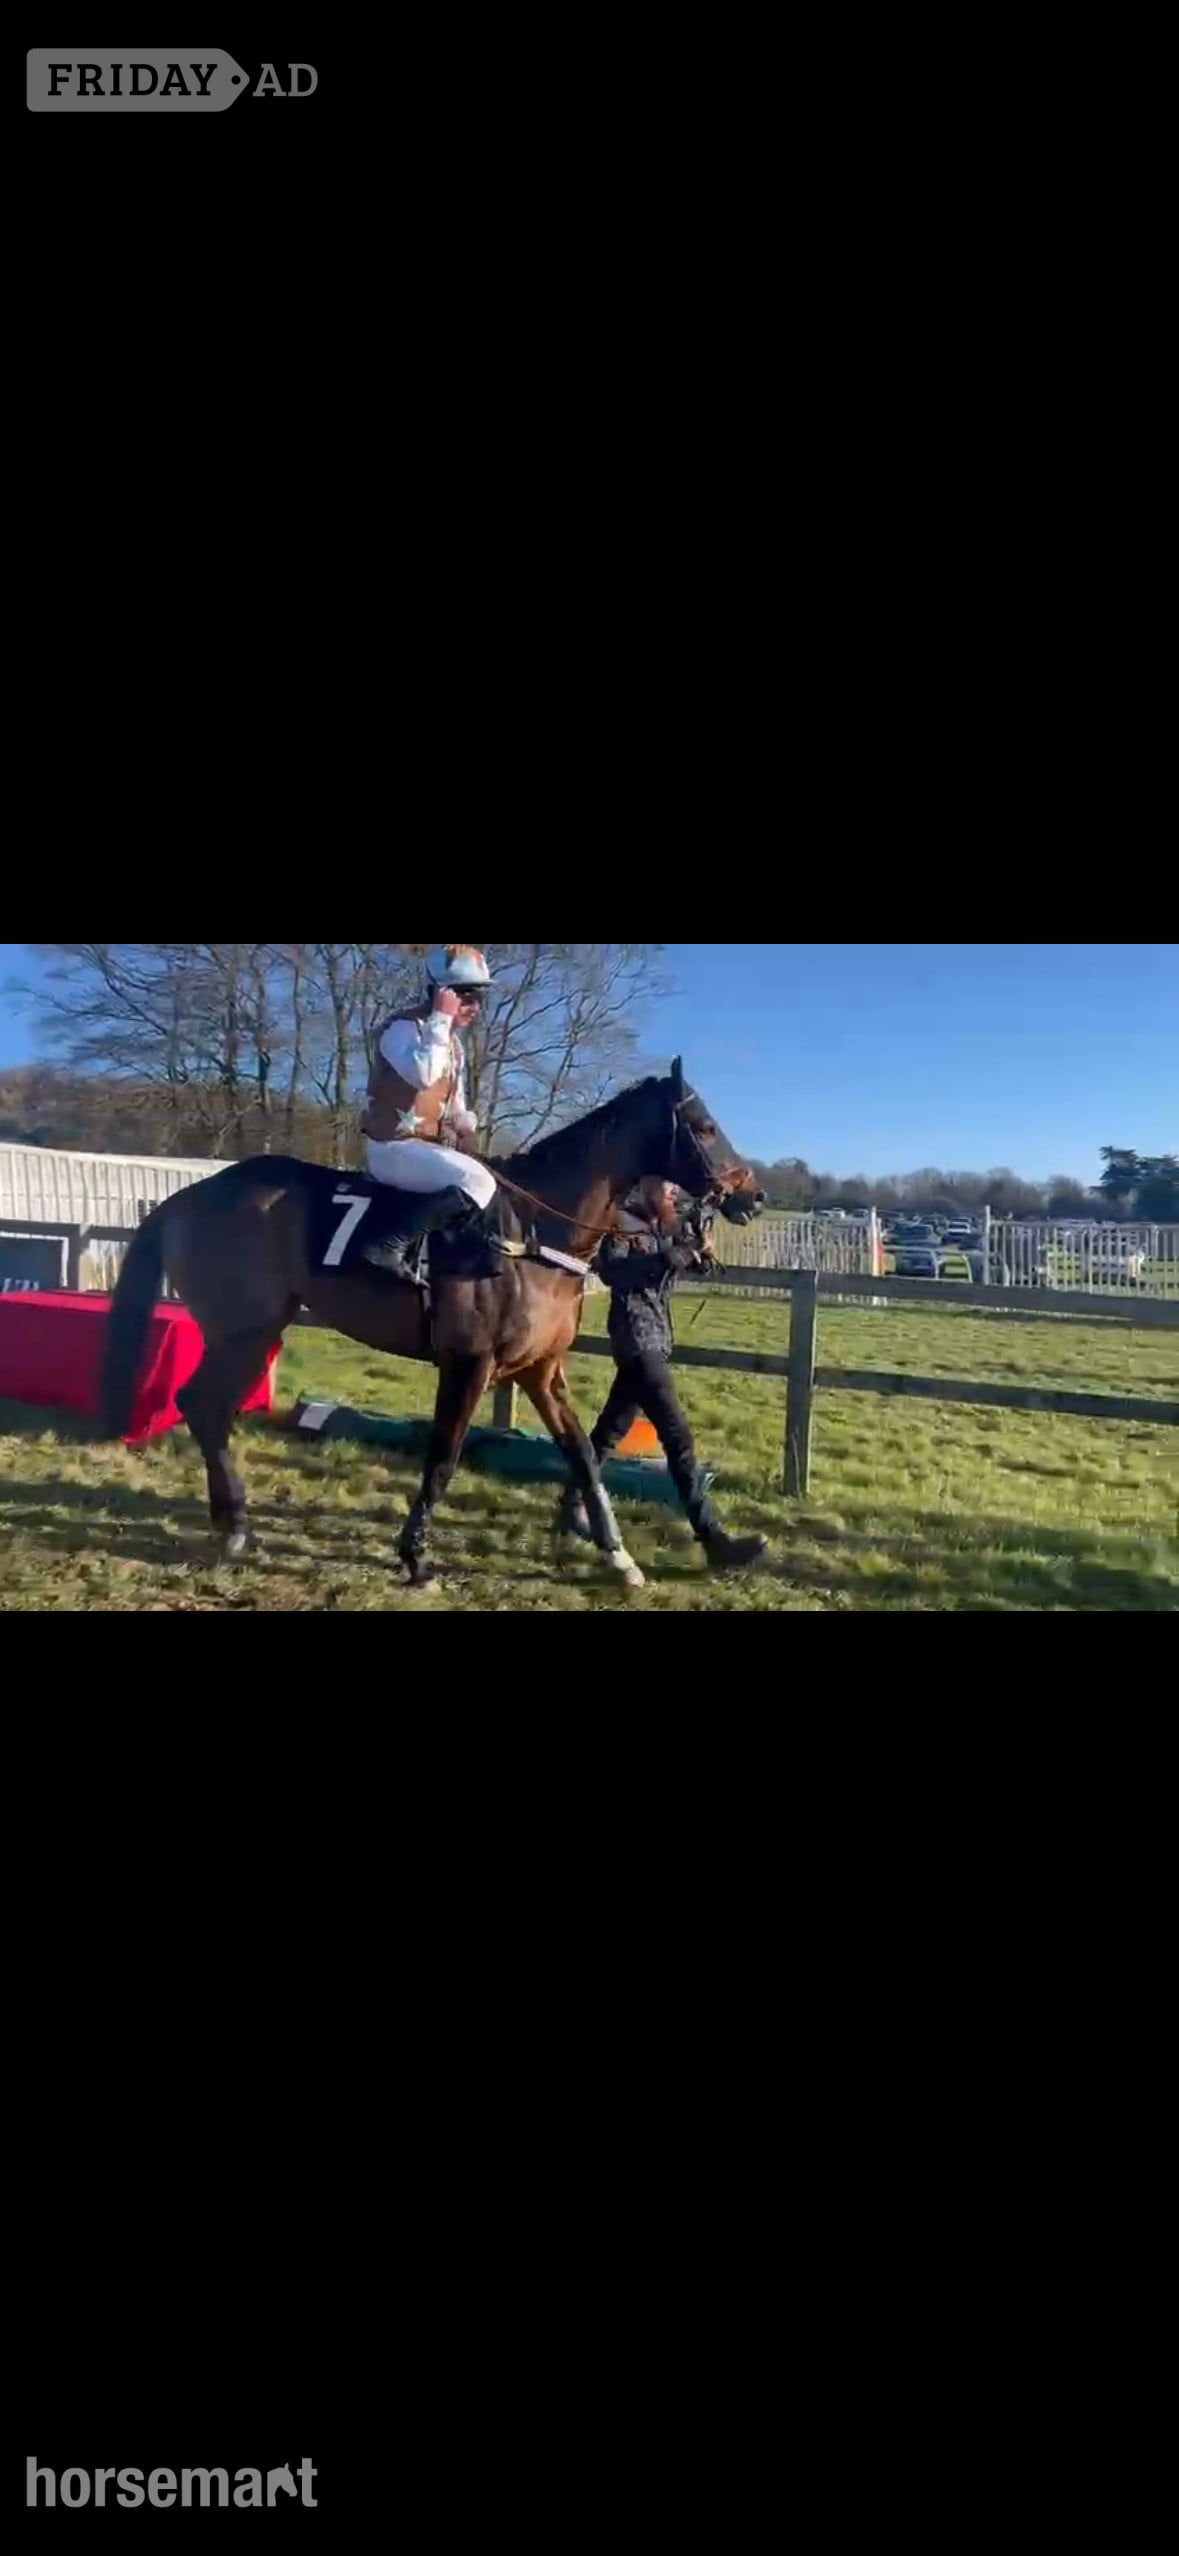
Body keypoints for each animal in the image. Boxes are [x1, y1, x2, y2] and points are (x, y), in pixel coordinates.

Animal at [101, 1060, 764, 1591]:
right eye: (706, 1127)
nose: (752, 1196)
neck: (530, 1234)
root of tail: (187, 1196)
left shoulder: (539, 1370)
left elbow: (583, 1455)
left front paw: (618, 1556)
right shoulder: (469, 1364)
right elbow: (443, 1456)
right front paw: (415, 1558)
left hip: (253, 1331)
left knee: (206, 1406)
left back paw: (231, 1522)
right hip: (246, 1330)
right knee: (203, 1404)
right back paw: (235, 1524)